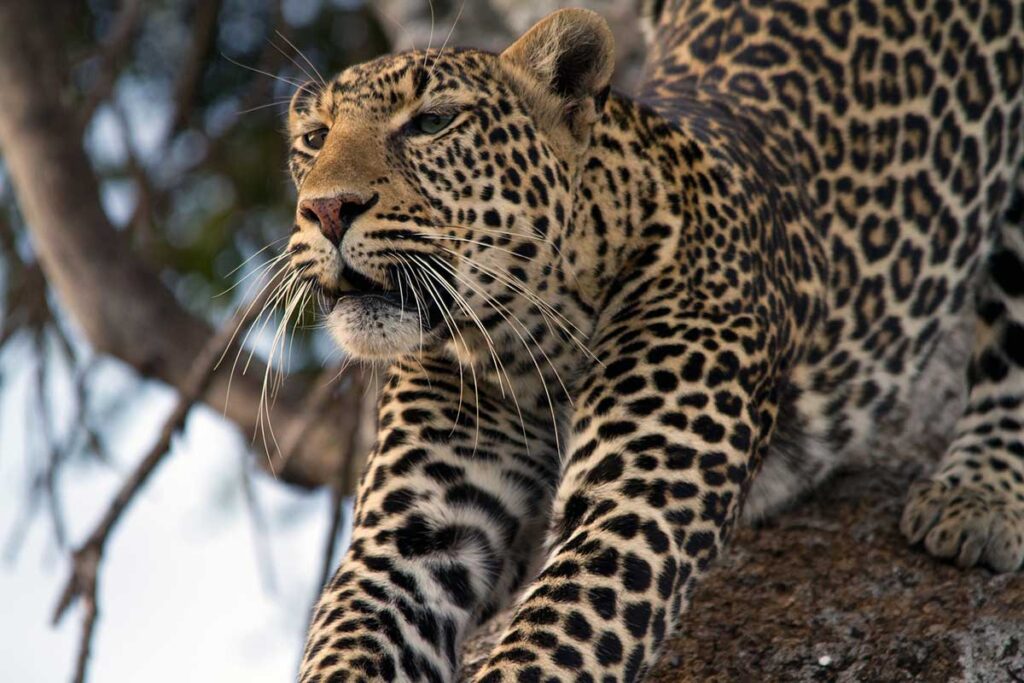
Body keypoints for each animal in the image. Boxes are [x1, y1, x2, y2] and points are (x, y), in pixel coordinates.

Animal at [279, 2, 1024, 681]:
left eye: (432, 122)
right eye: (314, 138)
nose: (326, 209)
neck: (525, 345)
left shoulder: (633, 513)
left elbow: (542, 652)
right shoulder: (410, 538)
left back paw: (976, 497)